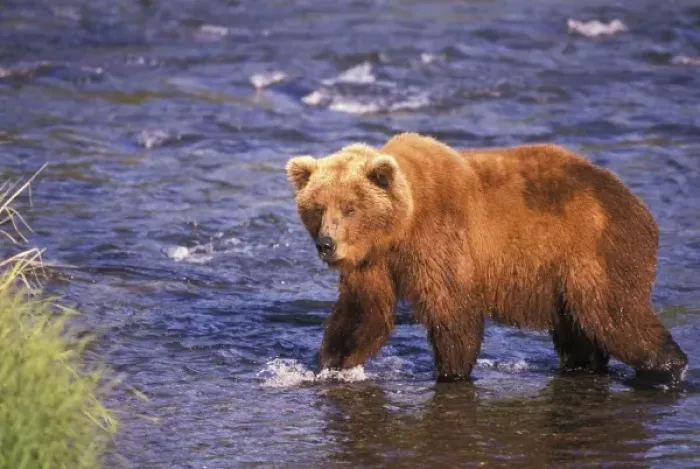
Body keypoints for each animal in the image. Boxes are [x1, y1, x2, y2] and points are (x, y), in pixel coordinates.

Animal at [285, 132, 688, 384]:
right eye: (317, 207)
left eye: (350, 208)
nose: (327, 244)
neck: (401, 228)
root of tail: (638, 205)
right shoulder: (373, 261)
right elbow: (363, 313)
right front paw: (332, 365)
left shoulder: (440, 238)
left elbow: (452, 309)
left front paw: (450, 372)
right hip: (563, 276)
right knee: (580, 330)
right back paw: (584, 367)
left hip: (594, 251)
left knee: (615, 315)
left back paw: (668, 368)